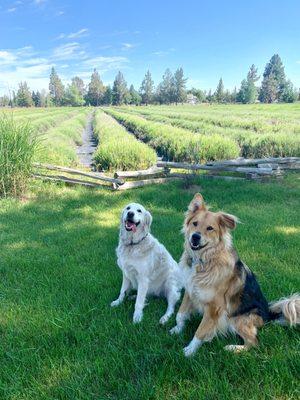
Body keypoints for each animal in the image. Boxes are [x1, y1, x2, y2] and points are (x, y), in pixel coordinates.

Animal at [170, 194, 298, 356]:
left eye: (210, 228)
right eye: (195, 223)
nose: (195, 237)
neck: (203, 261)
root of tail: (268, 315)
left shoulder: (214, 307)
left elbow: (201, 330)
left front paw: (190, 350)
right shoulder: (190, 291)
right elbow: (180, 314)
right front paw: (176, 329)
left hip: (236, 319)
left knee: (254, 342)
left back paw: (232, 348)